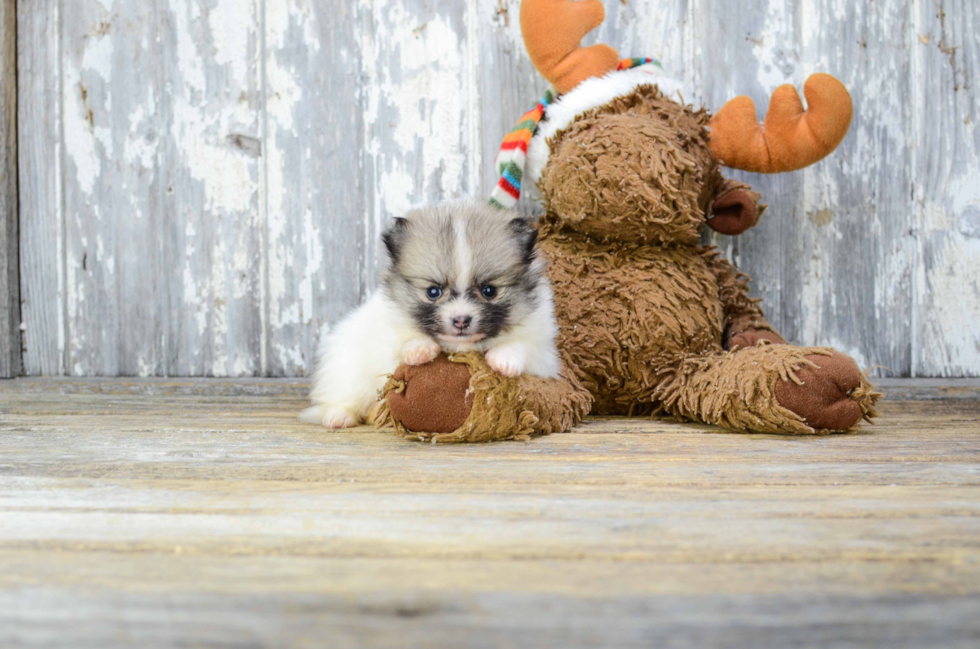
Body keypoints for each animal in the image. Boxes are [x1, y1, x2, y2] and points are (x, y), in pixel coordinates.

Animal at [298, 200, 560, 428]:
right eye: (433, 292)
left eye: (489, 291)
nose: (461, 320)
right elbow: (404, 339)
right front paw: (419, 349)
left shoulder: (543, 352)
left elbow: (522, 345)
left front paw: (503, 359)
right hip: (348, 371)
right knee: (341, 397)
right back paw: (339, 416)